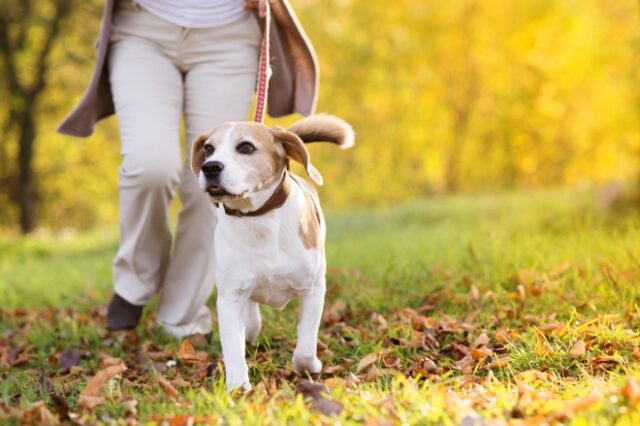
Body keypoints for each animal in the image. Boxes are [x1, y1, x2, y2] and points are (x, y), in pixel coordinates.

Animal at [190, 114, 356, 392]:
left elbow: (305, 346)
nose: (210, 167)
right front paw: (238, 387)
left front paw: (310, 367)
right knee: (250, 319)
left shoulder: (313, 290)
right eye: (209, 148)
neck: (258, 219)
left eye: (246, 147)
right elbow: (233, 347)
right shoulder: (229, 298)